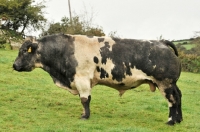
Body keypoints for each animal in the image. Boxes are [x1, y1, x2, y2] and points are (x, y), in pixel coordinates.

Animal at [12, 33, 183, 125]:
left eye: (24, 51)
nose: (14, 65)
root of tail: (161, 42)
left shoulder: (82, 79)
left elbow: (84, 99)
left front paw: (84, 116)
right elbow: (85, 100)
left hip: (165, 83)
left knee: (172, 101)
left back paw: (170, 121)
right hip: (172, 84)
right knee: (179, 97)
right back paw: (179, 119)